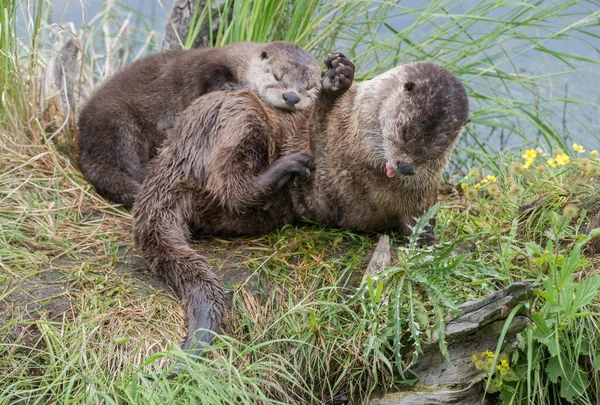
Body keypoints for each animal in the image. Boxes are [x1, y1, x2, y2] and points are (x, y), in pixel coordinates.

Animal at [79, 40, 324, 208]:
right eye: (276, 75)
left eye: (310, 87)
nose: (291, 97)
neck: (240, 62)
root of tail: (85, 143)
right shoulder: (211, 62)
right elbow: (208, 76)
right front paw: (230, 86)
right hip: (118, 121)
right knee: (129, 161)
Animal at [131, 54, 468, 356]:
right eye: (405, 129)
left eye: (436, 147)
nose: (406, 167)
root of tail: (172, 157)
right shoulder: (324, 170)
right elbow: (317, 127)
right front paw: (337, 78)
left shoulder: (420, 196)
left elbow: (420, 219)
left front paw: (429, 241)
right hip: (235, 111)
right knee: (229, 184)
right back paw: (288, 166)